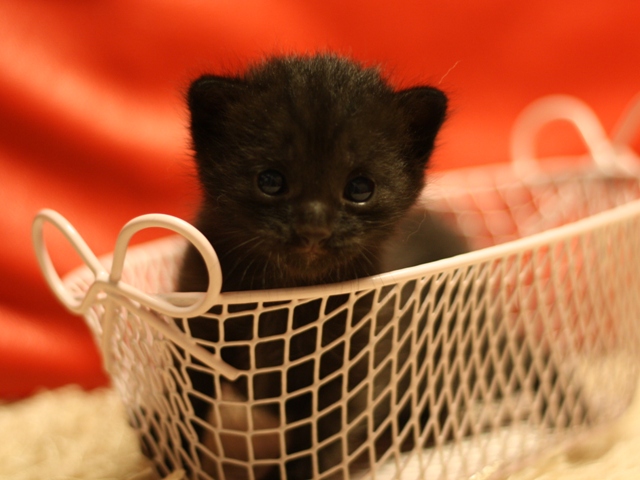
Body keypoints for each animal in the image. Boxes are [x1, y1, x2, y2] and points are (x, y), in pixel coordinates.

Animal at [178, 54, 460, 478]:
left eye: (360, 188)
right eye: (270, 180)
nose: (314, 226)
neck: (282, 298)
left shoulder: (354, 371)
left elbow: (323, 440)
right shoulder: (194, 339)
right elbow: (179, 414)